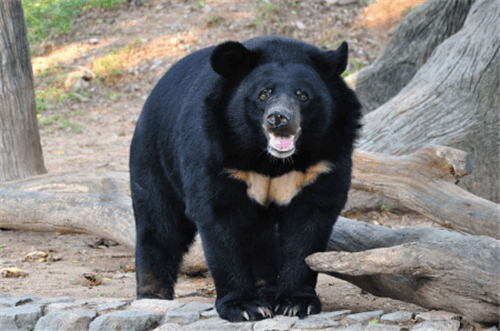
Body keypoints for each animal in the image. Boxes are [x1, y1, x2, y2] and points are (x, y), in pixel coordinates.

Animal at [131, 35, 362, 322]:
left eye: (303, 94)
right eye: (263, 94)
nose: (279, 119)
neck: (270, 160)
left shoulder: (323, 162)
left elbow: (308, 227)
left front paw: (296, 302)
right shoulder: (217, 153)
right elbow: (219, 219)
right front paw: (243, 307)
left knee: (262, 239)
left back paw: (267, 290)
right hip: (154, 156)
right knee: (160, 223)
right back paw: (152, 295)